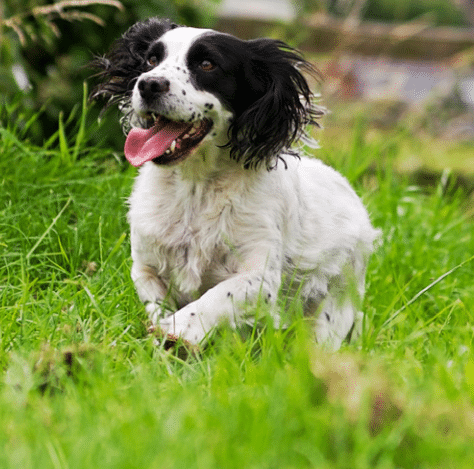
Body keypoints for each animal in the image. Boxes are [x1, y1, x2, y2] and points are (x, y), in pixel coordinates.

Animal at [91, 17, 382, 348]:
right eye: (152, 60)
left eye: (207, 64)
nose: (149, 84)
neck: (196, 188)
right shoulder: (146, 267)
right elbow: (156, 300)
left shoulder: (259, 278)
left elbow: (213, 298)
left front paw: (178, 330)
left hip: (334, 305)